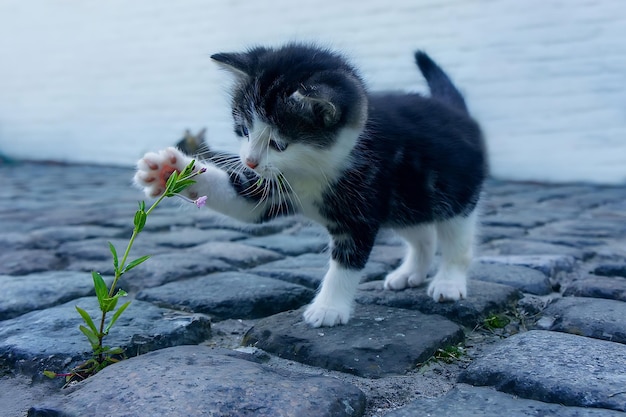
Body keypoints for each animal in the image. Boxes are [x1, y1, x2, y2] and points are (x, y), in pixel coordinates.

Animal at [135, 44, 488, 326]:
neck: (313, 168)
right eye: (244, 130)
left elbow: (346, 261)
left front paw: (329, 308)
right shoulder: (272, 187)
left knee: (456, 239)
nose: (249, 161)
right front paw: (169, 170)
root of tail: (456, 110)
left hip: (454, 193)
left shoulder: (362, 203)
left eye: (279, 144)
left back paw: (448, 282)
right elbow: (244, 201)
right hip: (407, 201)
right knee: (422, 233)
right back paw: (410, 273)